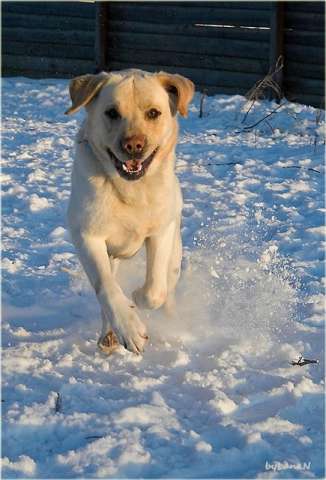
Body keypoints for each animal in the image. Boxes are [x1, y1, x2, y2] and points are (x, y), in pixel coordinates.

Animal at [65, 70, 195, 352]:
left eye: (154, 113)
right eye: (112, 112)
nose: (133, 145)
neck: (131, 191)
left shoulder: (161, 231)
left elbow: (155, 291)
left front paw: (137, 295)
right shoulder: (87, 236)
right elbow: (107, 288)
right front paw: (129, 328)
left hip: (175, 255)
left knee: (167, 289)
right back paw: (109, 335)